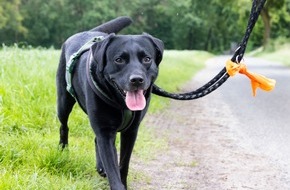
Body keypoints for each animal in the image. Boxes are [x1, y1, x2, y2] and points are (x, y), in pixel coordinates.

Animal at [56, 16, 163, 190]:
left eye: (147, 59)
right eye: (119, 60)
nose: (137, 80)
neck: (121, 104)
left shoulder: (131, 132)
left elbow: (123, 165)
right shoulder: (105, 132)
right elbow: (113, 169)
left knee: (95, 140)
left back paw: (100, 167)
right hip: (63, 102)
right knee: (63, 126)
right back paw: (63, 150)